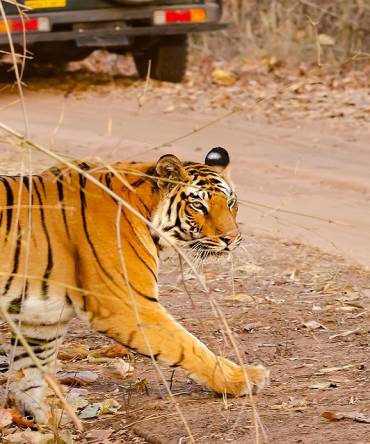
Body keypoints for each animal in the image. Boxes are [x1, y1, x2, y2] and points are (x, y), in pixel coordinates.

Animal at [0, 147, 268, 424]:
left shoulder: (42, 314)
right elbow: (189, 346)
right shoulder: (128, 304)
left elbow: (31, 368)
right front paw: (241, 379)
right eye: (198, 205)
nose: (232, 238)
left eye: (230, 203)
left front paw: (46, 416)